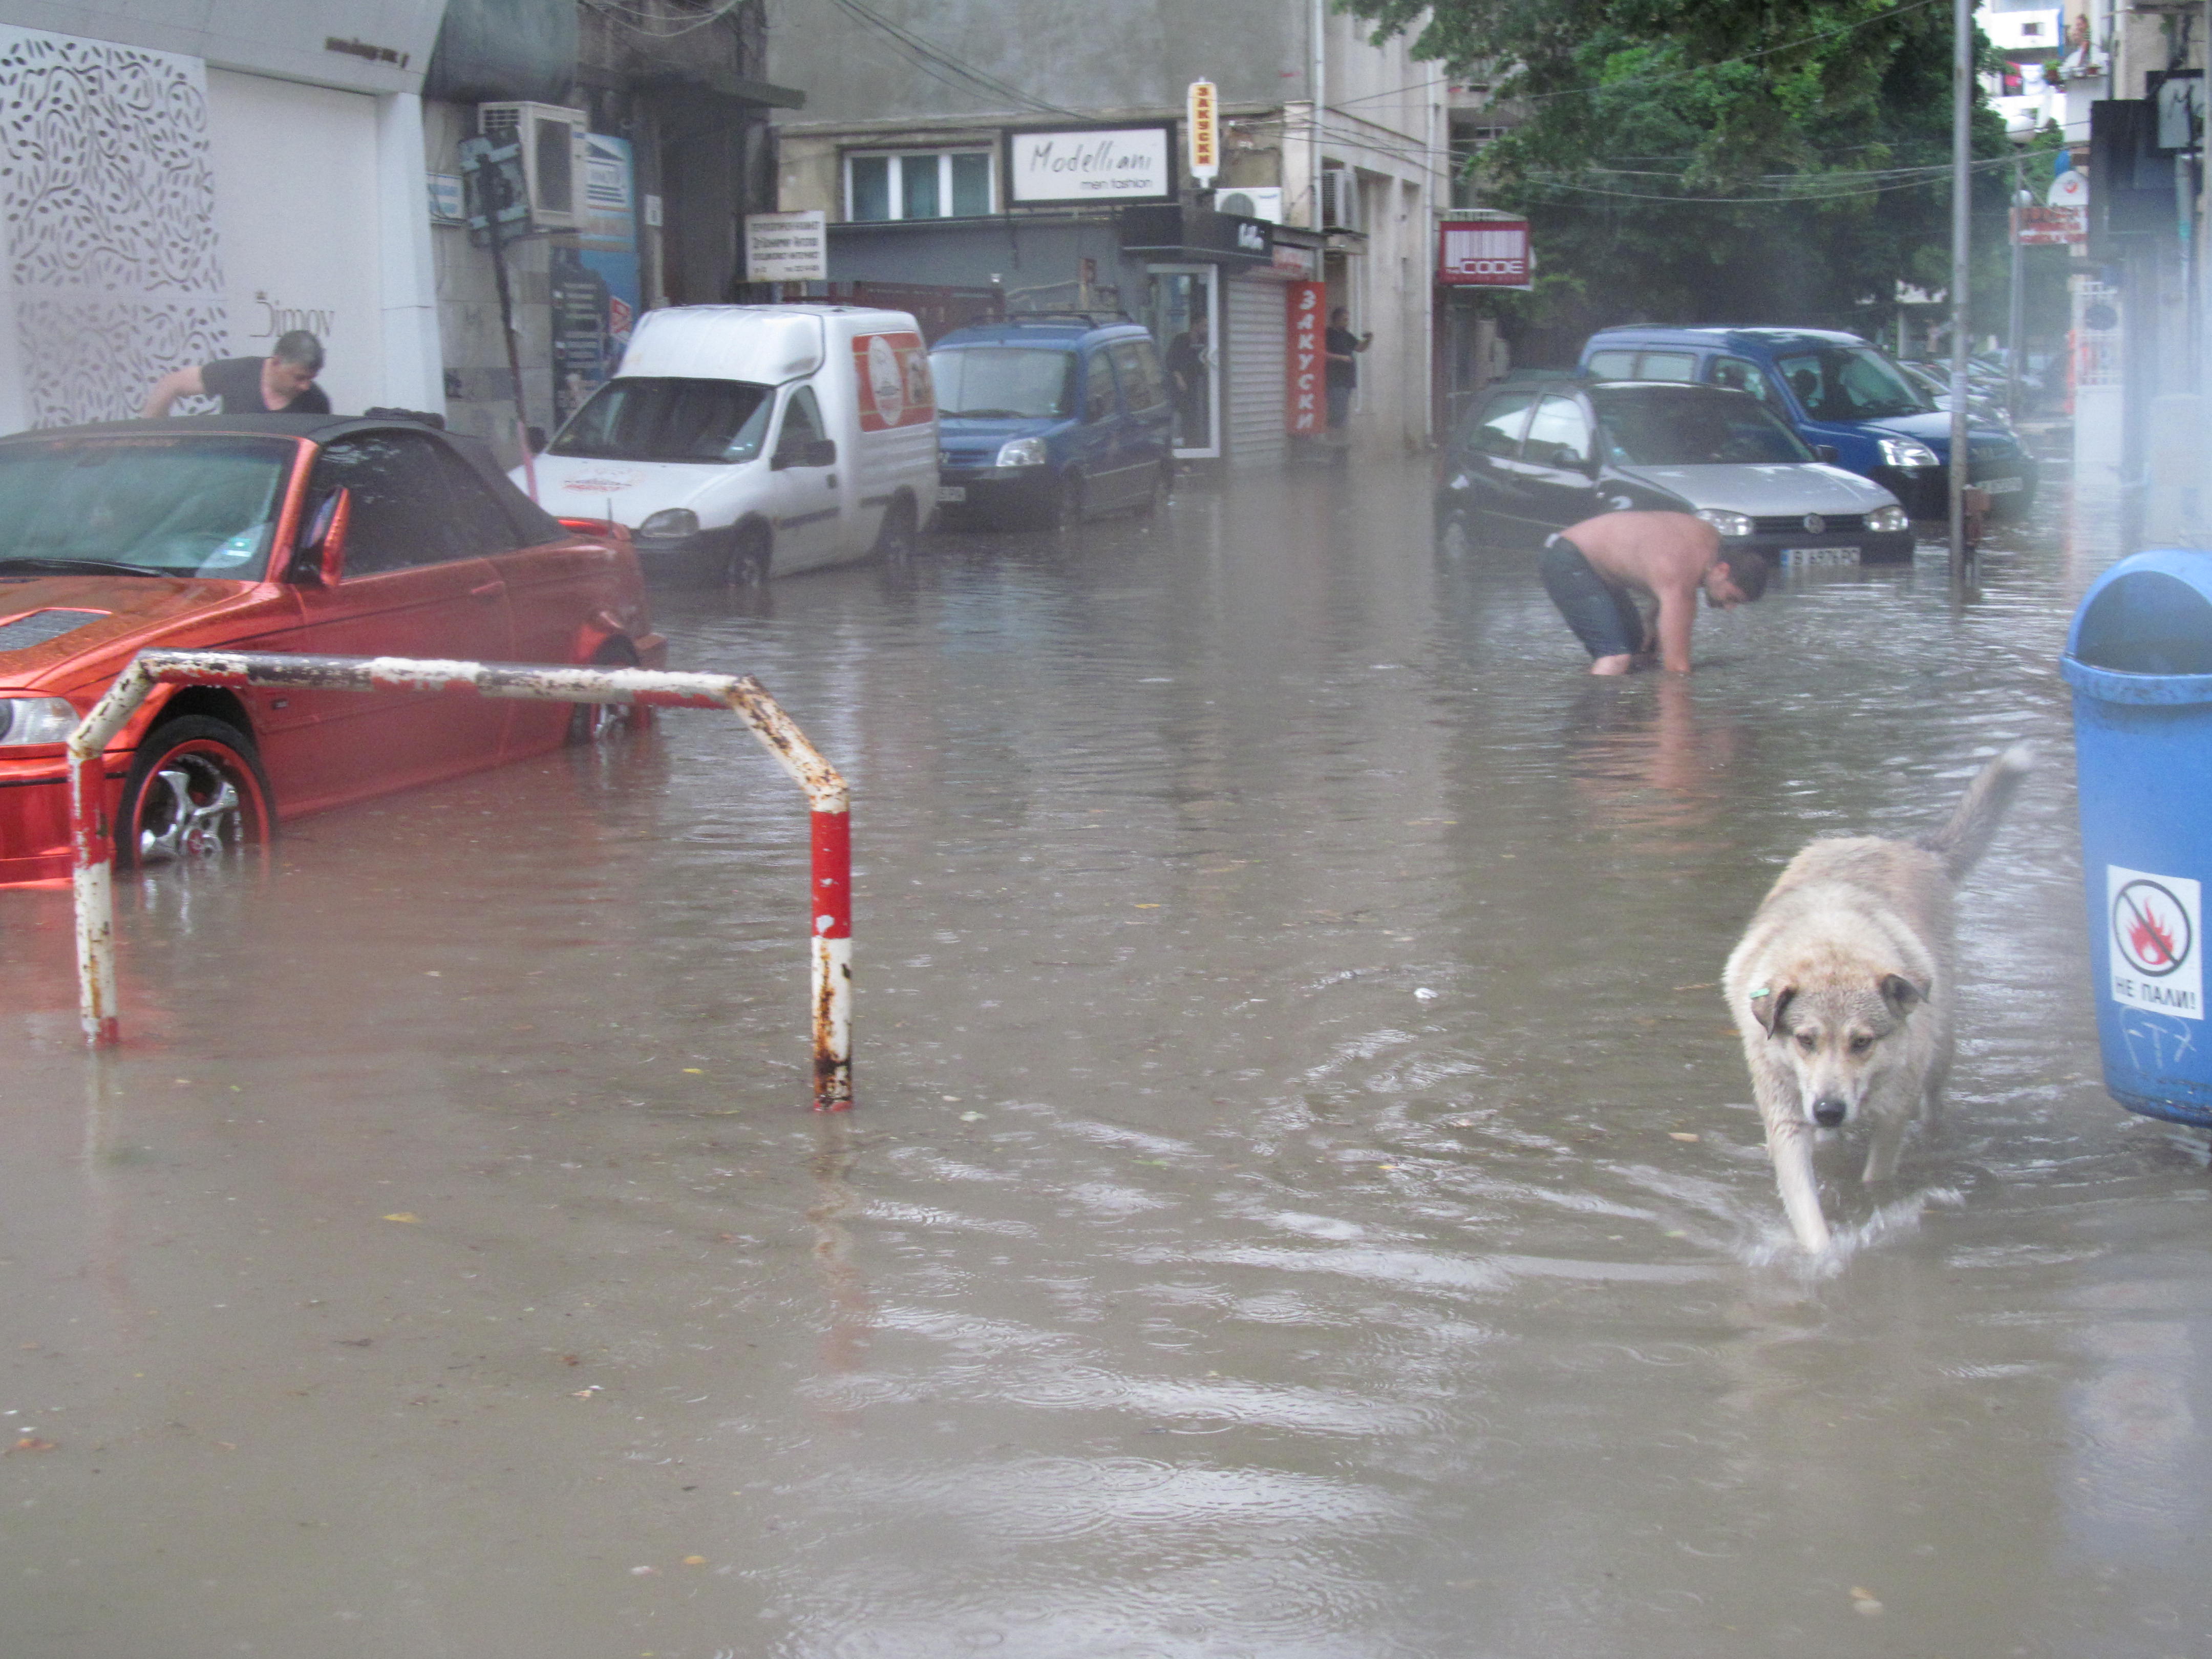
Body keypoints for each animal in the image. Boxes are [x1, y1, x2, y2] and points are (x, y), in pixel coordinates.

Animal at [1725, 748, 2035, 1256]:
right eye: (1805, 1040)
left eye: (1863, 1042)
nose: (1829, 1111)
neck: (1832, 945)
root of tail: (1907, 845)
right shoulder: (1787, 1122)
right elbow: (1807, 1212)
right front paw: (1825, 1257)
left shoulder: (1893, 1116)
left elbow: (1876, 1179)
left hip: (1941, 1052)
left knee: (1934, 1103)